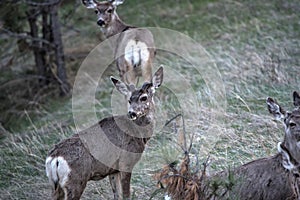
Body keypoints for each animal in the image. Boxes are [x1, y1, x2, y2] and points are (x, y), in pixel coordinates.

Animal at [45, 67, 164, 198]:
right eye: (129, 100)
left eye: (144, 97)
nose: (131, 113)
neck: (139, 134)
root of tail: (54, 158)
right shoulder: (126, 162)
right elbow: (126, 195)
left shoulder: (113, 170)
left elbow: (117, 195)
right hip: (75, 180)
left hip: (56, 186)